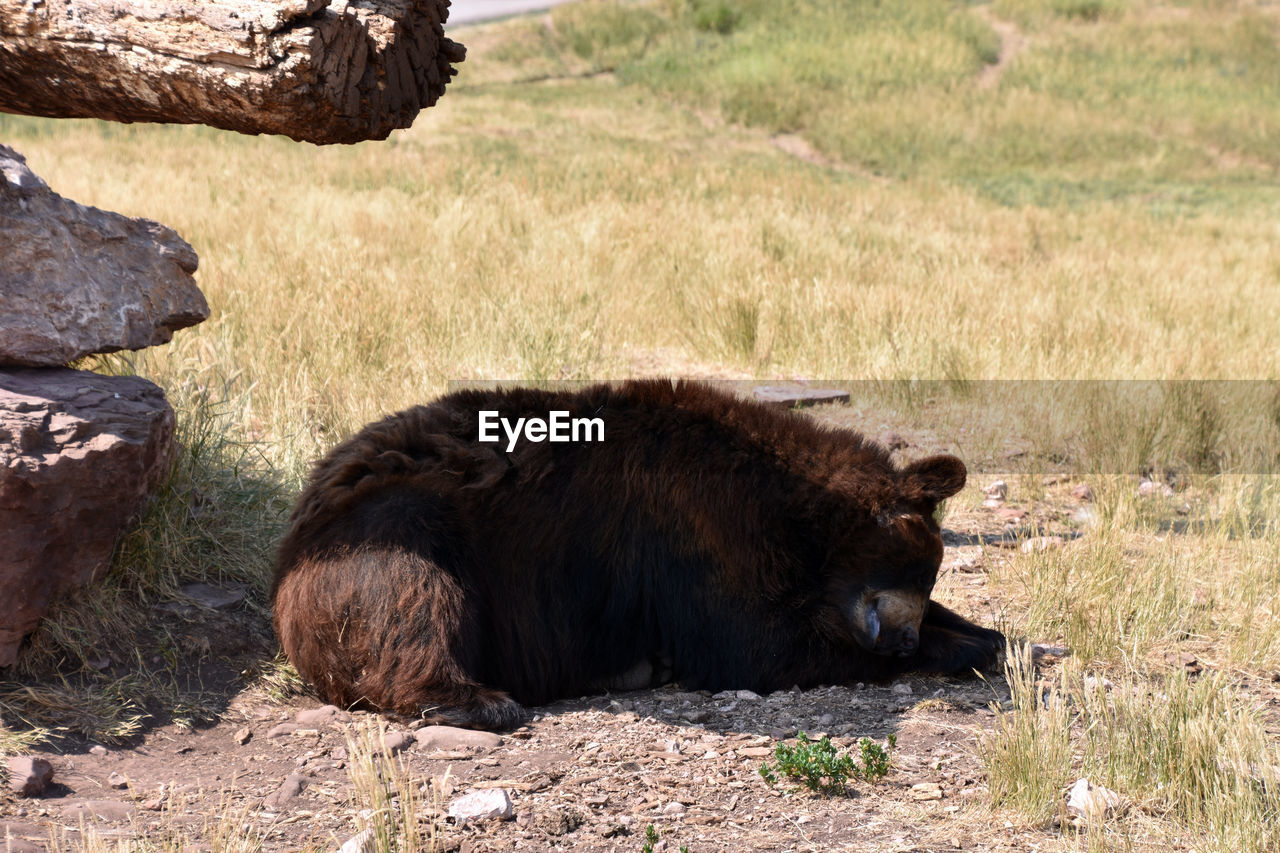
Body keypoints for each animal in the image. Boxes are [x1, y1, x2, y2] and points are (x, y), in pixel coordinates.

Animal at [272, 376, 1008, 722]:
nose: (903, 640)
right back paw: (479, 699)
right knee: (408, 595)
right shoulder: (693, 528)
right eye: (919, 570)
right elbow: (756, 643)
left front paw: (991, 635)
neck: (799, 519)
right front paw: (960, 646)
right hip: (384, 531)